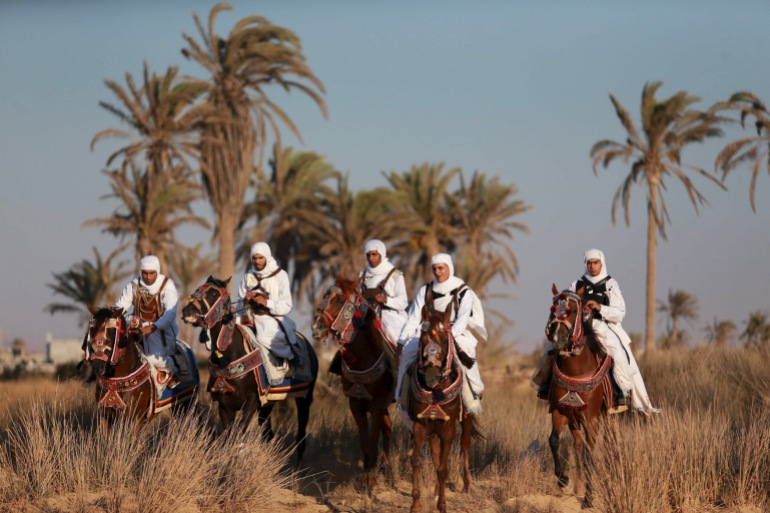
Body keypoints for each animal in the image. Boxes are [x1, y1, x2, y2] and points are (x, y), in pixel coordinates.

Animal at [82, 304, 200, 432]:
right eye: (92, 332)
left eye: (113, 333)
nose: (97, 366)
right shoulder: (105, 415)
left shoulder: (134, 418)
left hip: (187, 404)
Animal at [181, 278, 318, 462]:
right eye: (198, 289)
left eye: (214, 293)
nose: (188, 311)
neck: (229, 356)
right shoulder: (225, 406)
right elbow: (229, 437)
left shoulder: (251, 402)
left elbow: (238, 435)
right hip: (268, 405)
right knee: (268, 434)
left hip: (304, 398)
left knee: (301, 436)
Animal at [308, 276, 392, 492]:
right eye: (325, 296)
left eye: (340, 301)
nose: (316, 327)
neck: (362, 358)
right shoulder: (355, 403)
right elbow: (364, 441)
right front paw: (367, 471)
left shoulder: (376, 404)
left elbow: (372, 439)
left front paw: (370, 477)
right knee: (388, 427)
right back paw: (385, 468)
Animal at [402, 292, 480, 512]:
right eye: (423, 338)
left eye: (445, 340)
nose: (431, 376)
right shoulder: (421, 424)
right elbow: (417, 460)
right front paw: (416, 503)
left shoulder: (448, 428)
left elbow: (443, 468)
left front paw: (443, 504)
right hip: (432, 429)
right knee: (436, 453)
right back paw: (437, 491)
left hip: (466, 419)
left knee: (465, 445)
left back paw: (467, 485)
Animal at [544, 284, 616, 508]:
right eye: (552, 309)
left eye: (574, 310)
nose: (557, 339)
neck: (576, 371)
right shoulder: (560, 412)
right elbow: (554, 441)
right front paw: (564, 481)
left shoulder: (592, 419)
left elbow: (590, 455)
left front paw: (589, 499)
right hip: (575, 421)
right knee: (577, 446)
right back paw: (578, 486)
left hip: (607, 417)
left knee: (607, 446)